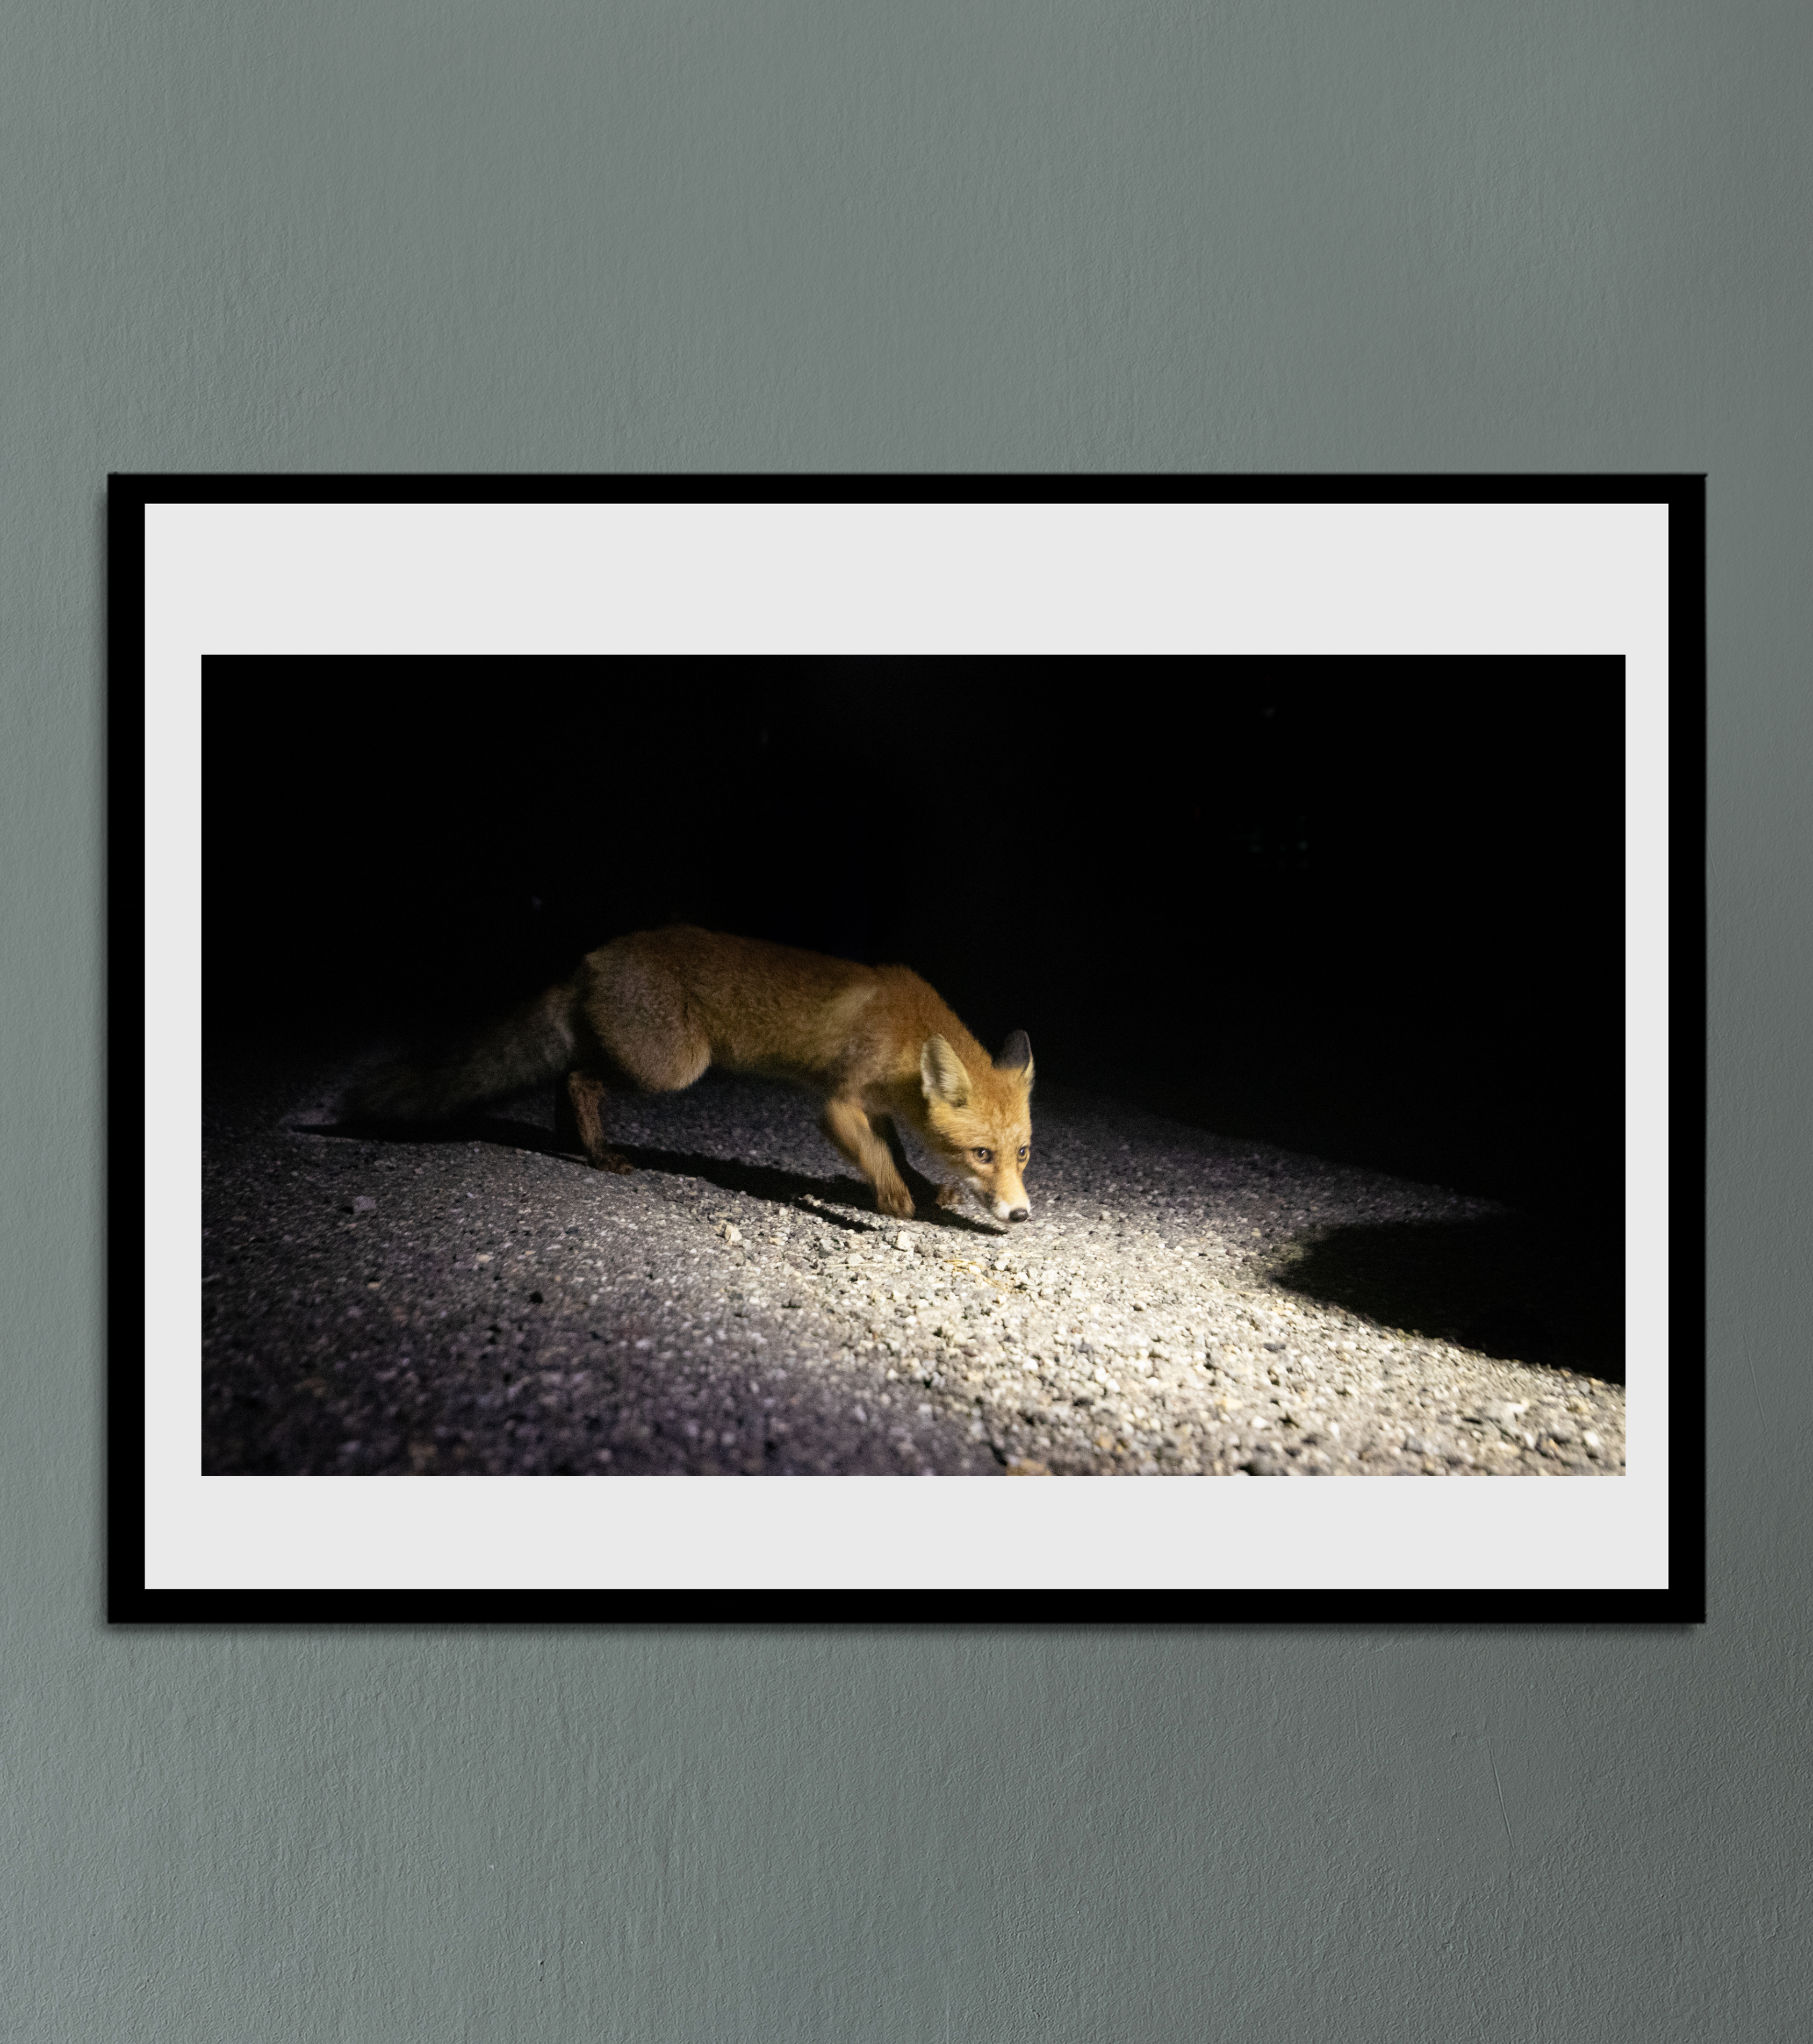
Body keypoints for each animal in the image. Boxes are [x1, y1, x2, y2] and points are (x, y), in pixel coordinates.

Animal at [342, 926, 1035, 1224]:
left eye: (1022, 1154)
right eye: (981, 1153)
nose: (1022, 1215)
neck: (905, 1034)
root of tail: (591, 957)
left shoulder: (877, 1106)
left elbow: (896, 1153)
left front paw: (921, 1188)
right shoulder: (838, 1104)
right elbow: (874, 1156)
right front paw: (892, 1199)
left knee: (568, 1077)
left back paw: (576, 1145)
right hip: (672, 1069)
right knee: (578, 1079)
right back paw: (599, 1153)